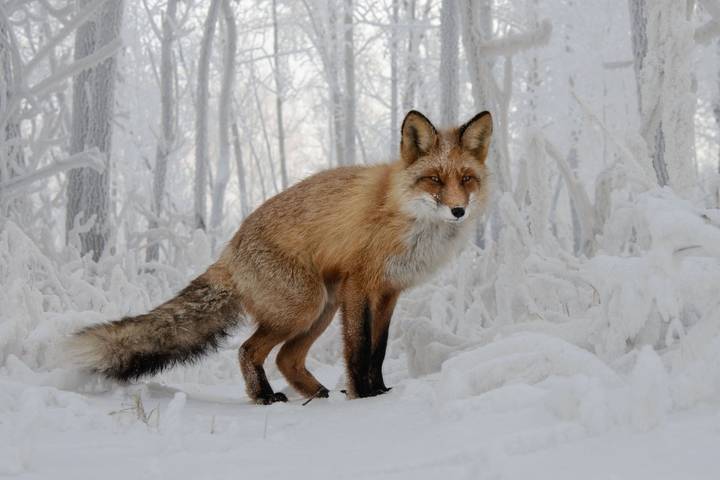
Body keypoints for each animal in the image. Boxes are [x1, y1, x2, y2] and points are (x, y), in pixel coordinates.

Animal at [68, 110, 493, 404]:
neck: (405, 217)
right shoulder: (360, 285)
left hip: (322, 307)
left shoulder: (389, 292)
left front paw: (381, 390)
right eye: (434, 180)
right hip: (305, 306)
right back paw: (263, 397)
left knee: (287, 358)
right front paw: (363, 396)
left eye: (466, 179)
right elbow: (358, 349)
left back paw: (315, 393)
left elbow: (378, 350)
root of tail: (230, 249)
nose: (458, 210)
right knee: (248, 350)